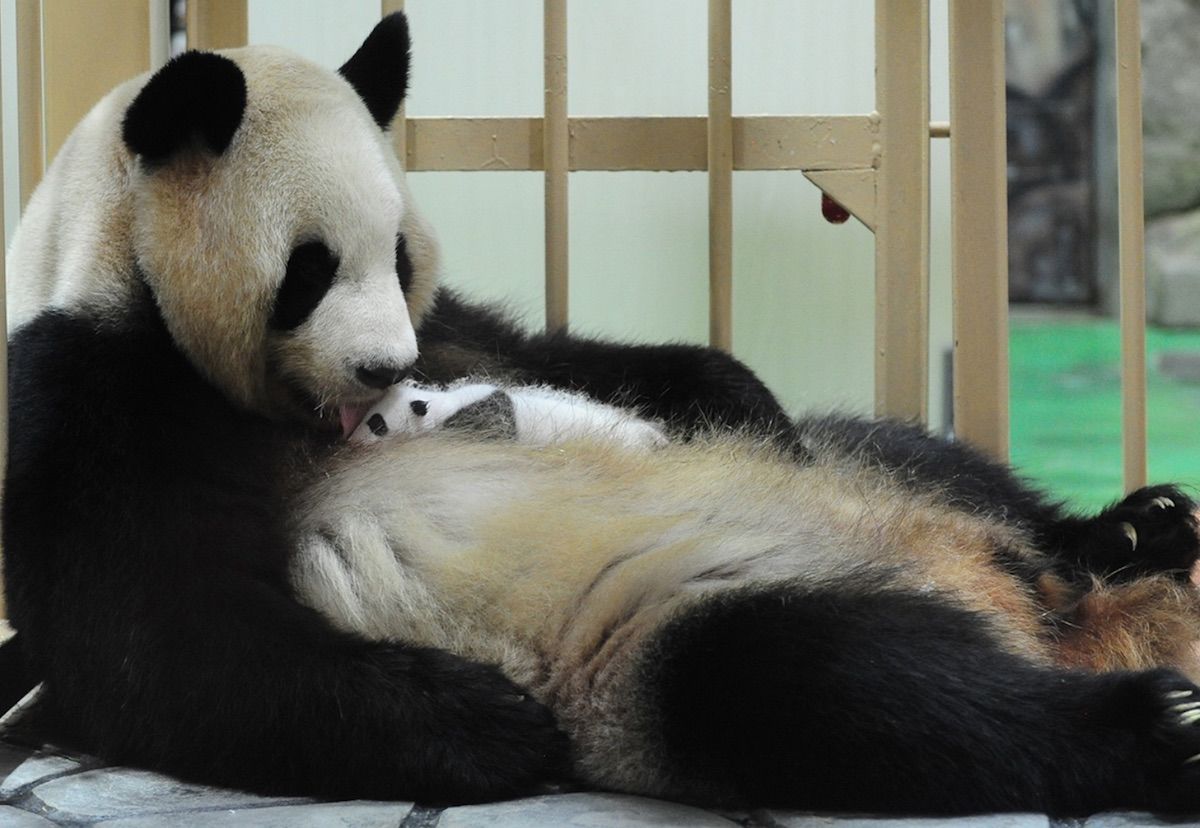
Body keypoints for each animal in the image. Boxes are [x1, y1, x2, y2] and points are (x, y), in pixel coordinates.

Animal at [5, 11, 1200, 817]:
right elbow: (157, 645)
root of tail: (1036, 612)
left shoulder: (460, 328)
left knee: (934, 465)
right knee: (841, 687)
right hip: (659, 630)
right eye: (308, 269)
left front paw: (740, 407)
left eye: (397, 254)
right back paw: (1159, 728)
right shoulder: (89, 397)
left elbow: (586, 356)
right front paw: (489, 725)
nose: (387, 371)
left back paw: (1136, 531)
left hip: (884, 475)